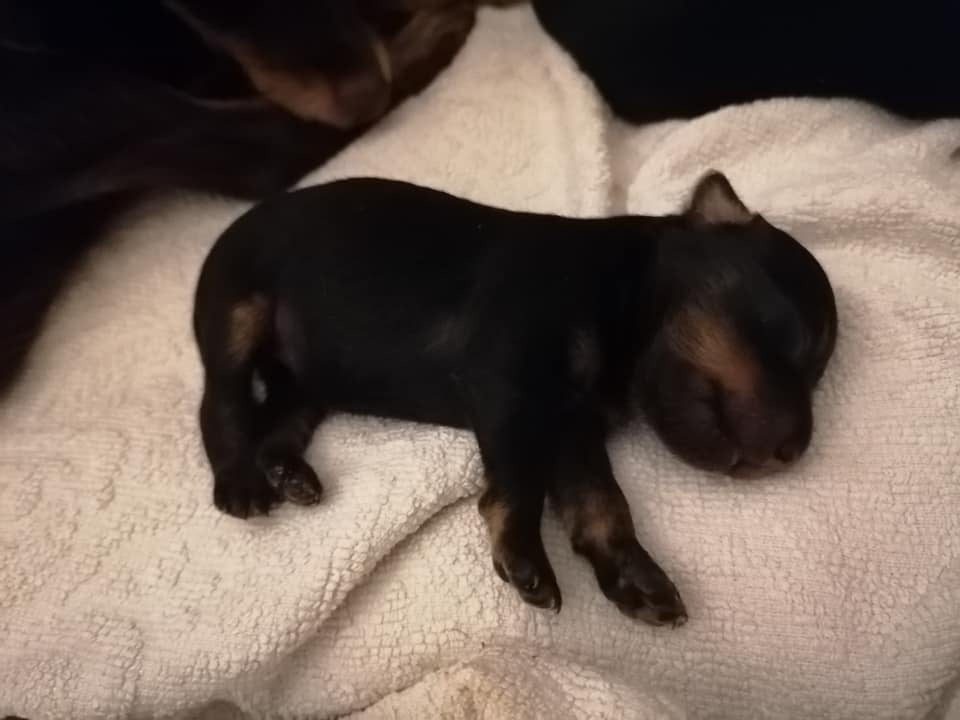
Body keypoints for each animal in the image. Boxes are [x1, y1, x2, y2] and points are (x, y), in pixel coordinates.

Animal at [192, 171, 838, 625]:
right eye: (793, 340)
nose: (794, 452)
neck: (620, 291)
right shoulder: (511, 382)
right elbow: (520, 483)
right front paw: (525, 558)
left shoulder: (572, 424)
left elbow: (602, 501)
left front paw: (631, 575)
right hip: (236, 311)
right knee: (220, 404)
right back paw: (241, 482)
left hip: (309, 382)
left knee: (281, 415)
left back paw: (287, 471)